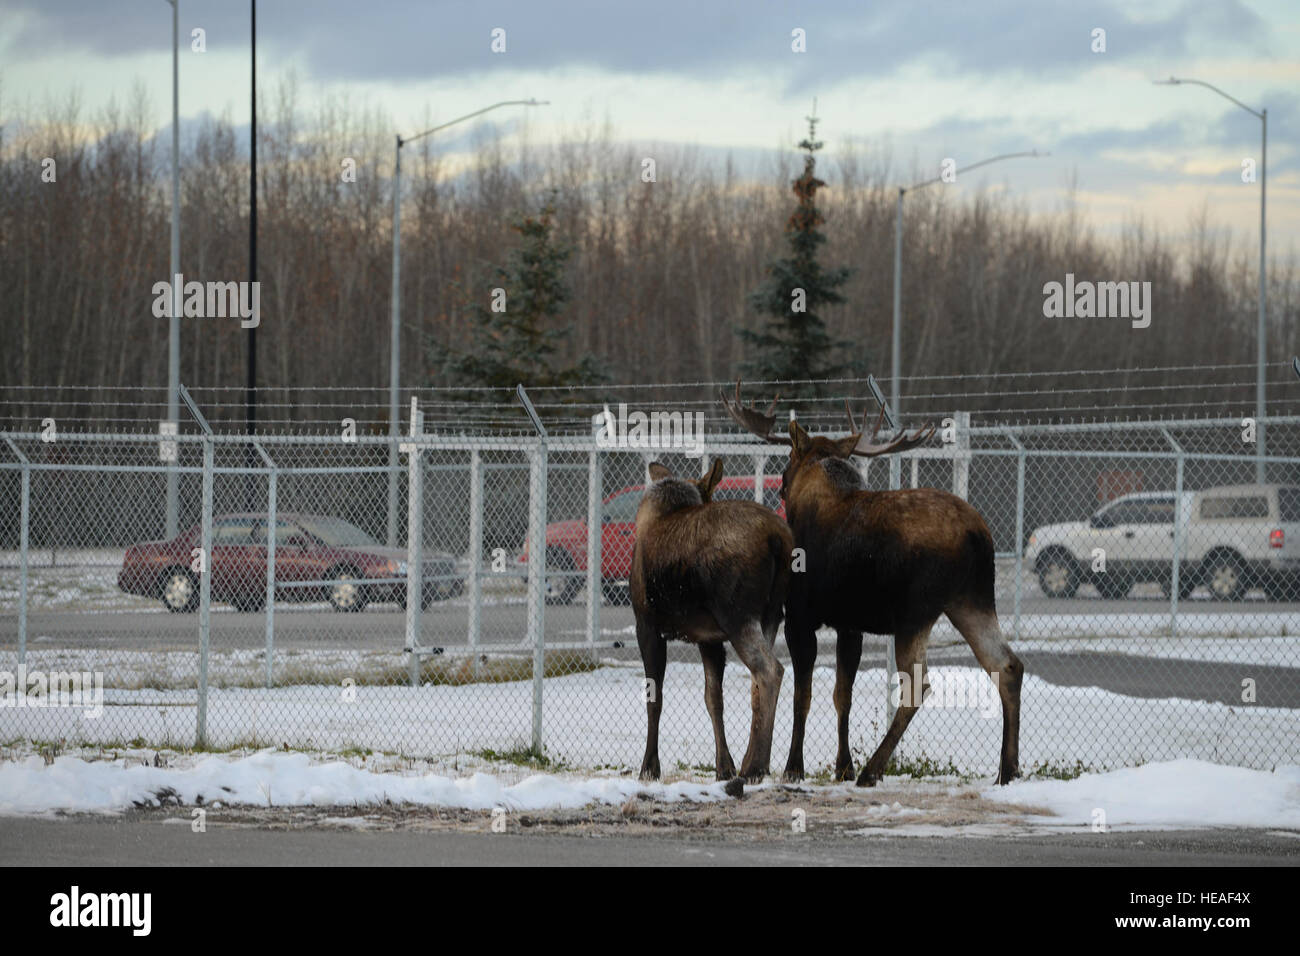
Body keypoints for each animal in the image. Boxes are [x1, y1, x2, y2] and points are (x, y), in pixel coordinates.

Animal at [629, 457, 790, 785]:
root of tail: (778, 540)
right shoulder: (709, 638)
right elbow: (714, 699)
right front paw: (724, 767)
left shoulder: (647, 625)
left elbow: (655, 697)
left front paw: (649, 767)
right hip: (770, 616)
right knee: (757, 682)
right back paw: (751, 763)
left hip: (737, 617)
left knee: (771, 671)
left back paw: (756, 767)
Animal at [722, 385, 1024, 790]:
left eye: (789, 457)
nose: (782, 484)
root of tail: (979, 536)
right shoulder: (850, 624)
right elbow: (842, 695)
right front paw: (842, 766)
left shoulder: (800, 617)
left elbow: (804, 694)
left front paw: (795, 767)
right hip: (971, 601)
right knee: (1006, 664)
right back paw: (1007, 769)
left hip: (917, 611)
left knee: (918, 685)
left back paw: (873, 769)